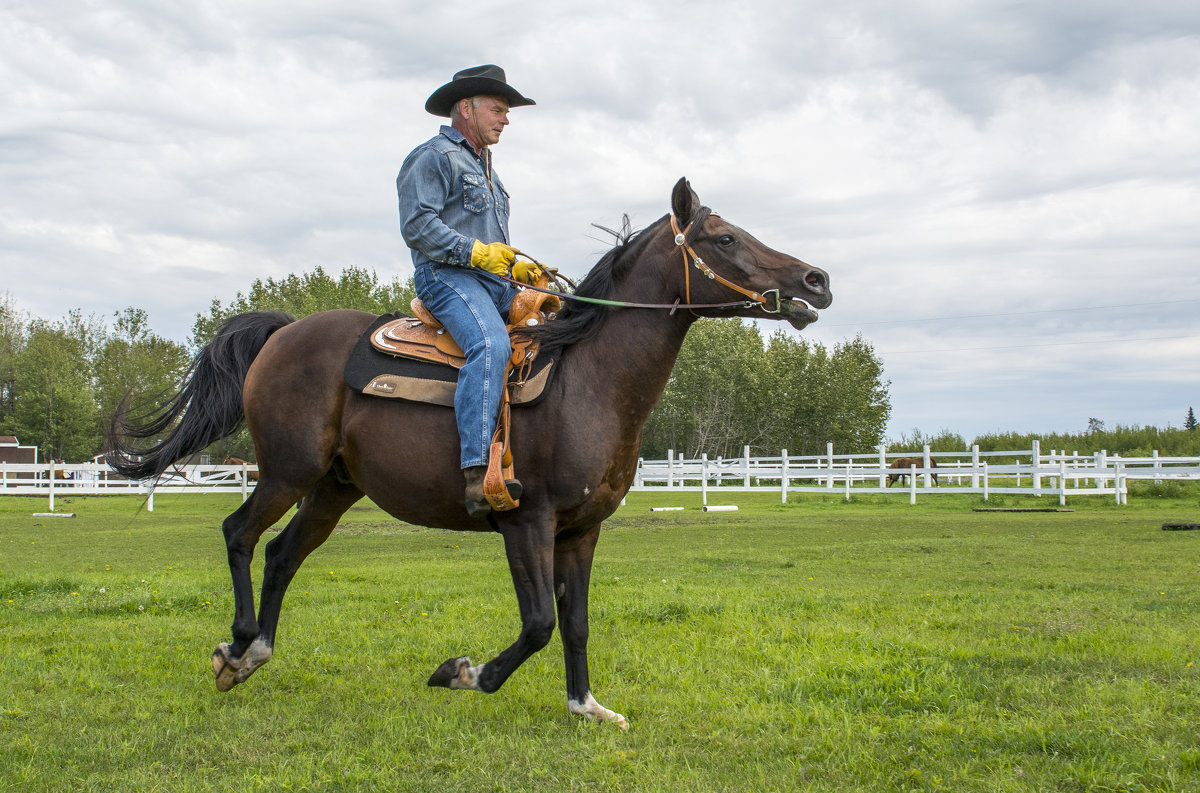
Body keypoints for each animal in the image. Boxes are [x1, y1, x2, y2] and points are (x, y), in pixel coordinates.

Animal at [105, 179, 835, 729]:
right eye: (725, 238)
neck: (587, 378)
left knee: (283, 553)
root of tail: (284, 333)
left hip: (334, 486)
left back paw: (254, 652)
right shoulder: (525, 521)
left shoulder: (582, 530)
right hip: (289, 470)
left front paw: (586, 706)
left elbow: (576, 622)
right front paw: (460, 672)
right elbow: (538, 623)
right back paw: (235, 646)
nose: (817, 279)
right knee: (239, 532)